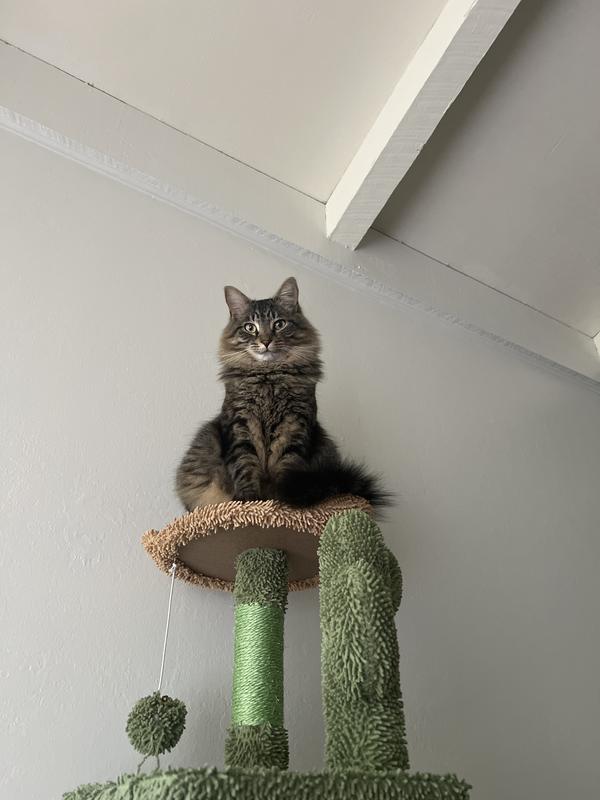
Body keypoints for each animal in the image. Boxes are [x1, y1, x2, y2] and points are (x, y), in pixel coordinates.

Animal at [176, 277, 388, 510]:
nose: (266, 341)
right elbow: (245, 466)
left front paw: (281, 502)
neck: (270, 377)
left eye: (279, 324)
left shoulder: (294, 424)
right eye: (250, 327)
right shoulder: (240, 425)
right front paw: (249, 501)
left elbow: (287, 466)